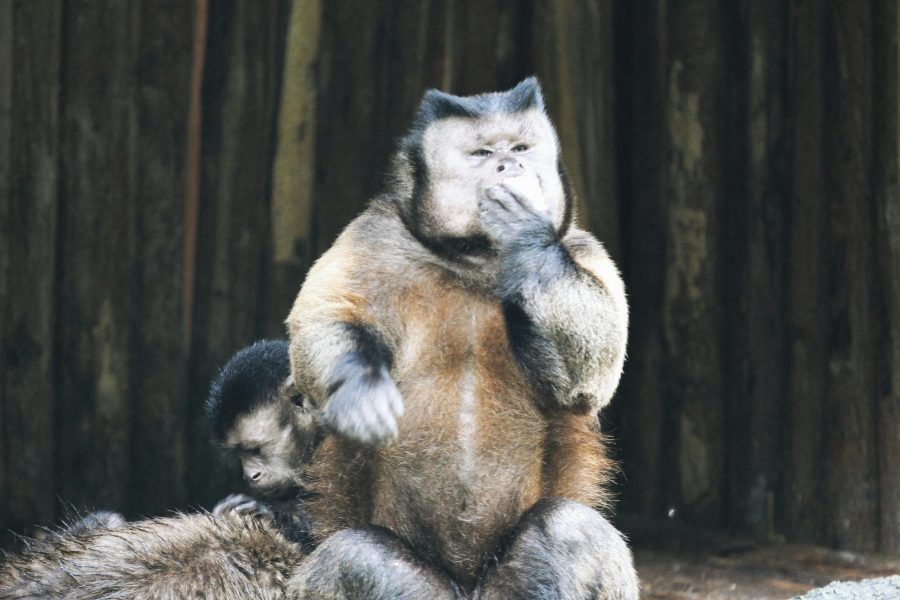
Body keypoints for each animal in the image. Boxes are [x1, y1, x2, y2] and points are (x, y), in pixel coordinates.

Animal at [285, 77, 639, 599]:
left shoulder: (582, 248)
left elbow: (592, 373)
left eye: (519, 148)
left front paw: (524, 235)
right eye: (483, 153)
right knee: (359, 555)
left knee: (568, 529)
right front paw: (358, 392)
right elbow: (326, 317)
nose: (509, 166)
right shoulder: (373, 238)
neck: (473, 261)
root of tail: (469, 589)